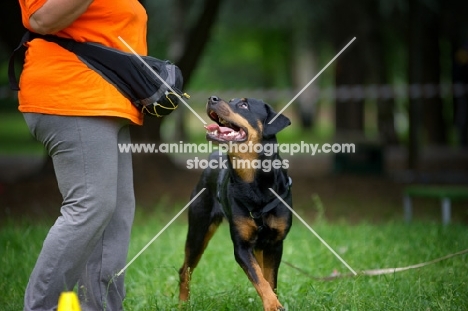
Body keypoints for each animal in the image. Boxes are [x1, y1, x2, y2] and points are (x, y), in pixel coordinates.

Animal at [179, 96, 292, 310]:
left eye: (244, 105)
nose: (212, 98)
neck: (254, 182)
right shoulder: (241, 247)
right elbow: (259, 278)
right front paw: (273, 304)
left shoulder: (275, 243)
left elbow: (269, 279)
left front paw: (273, 303)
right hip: (199, 229)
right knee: (185, 269)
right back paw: (182, 305)